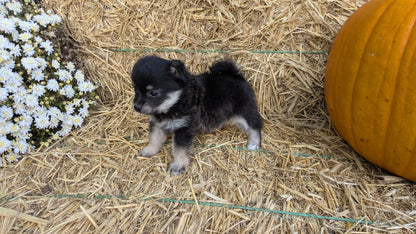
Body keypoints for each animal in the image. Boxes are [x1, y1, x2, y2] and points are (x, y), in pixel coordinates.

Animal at [132, 56, 264, 174]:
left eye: (153, 92)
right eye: (135, 90)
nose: (136, 107)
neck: (176, 103)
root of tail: (236, 75)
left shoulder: (183, 128)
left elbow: (179, 150)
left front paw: (178, 165)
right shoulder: (157, 124)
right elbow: (155, 139)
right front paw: (149, 150)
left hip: (244, 112)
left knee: (255, 126)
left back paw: (254, 144)